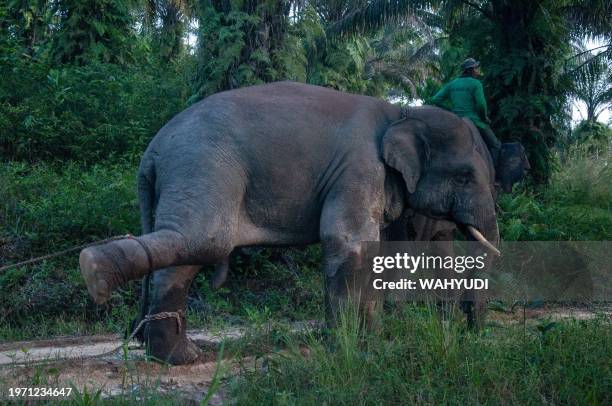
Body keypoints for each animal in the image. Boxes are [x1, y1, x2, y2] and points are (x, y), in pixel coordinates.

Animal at [80, 81, 502, 364]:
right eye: (465, 177)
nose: (471, 334)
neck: (401, 112)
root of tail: (152, 150)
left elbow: (375, 250)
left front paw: (368, 342)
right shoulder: (359, 167)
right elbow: (346, 240)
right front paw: (347, 348)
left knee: (183, 255)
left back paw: (175, 355)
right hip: (202, 167)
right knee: (204, 239)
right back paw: (96, 272)